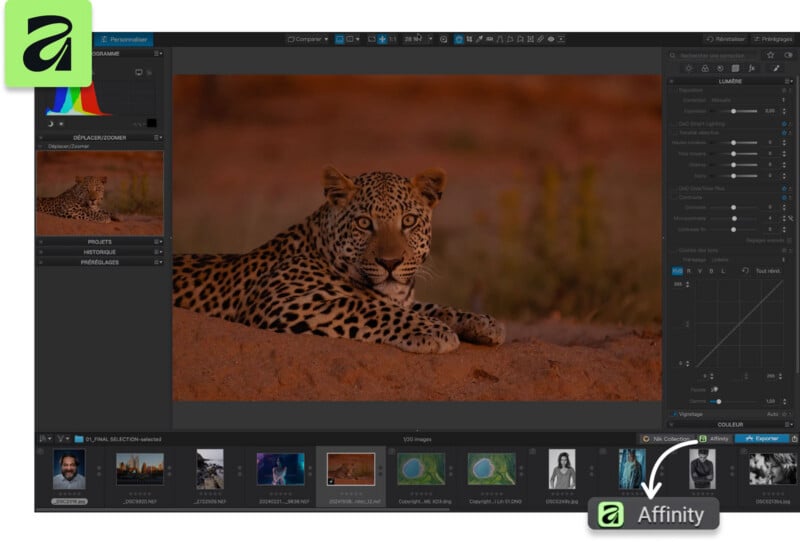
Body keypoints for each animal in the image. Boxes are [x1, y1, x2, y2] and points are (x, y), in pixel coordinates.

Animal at [172, 166, 505, 354]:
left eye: (408, 221)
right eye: (364, 223)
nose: (390, 263)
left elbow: (433, 306)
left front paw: (483, 322)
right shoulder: (280, 301)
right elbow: (365, 306)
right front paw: (432, 331)